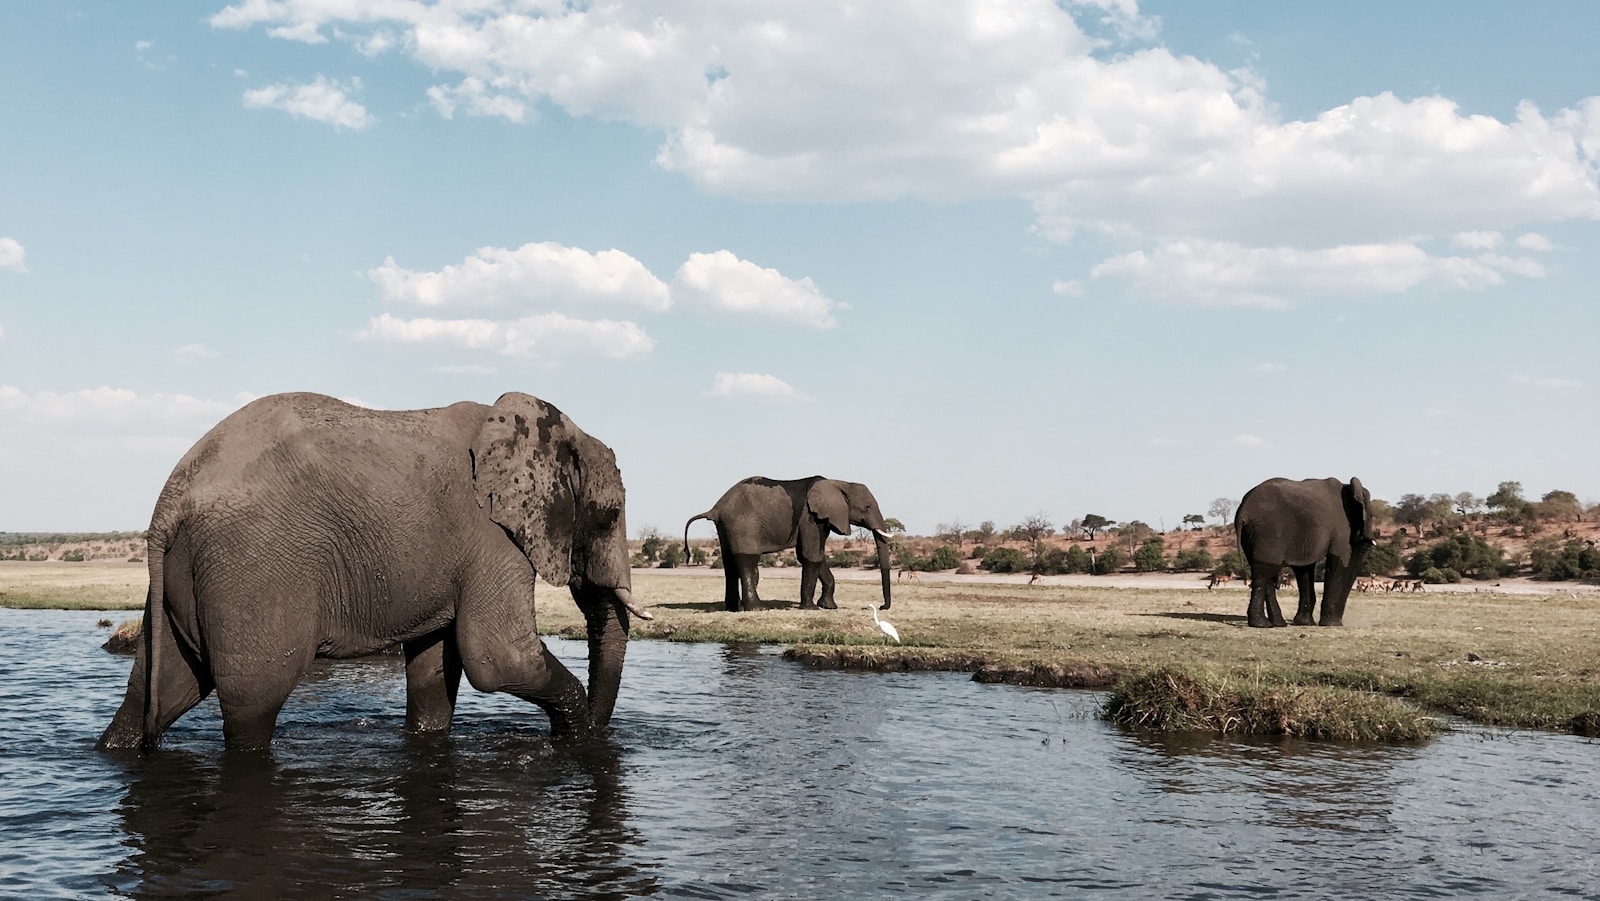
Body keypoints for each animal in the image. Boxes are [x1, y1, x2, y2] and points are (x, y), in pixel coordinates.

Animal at [98, 395, 649, 755]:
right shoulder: (493, 536)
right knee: (252, 705)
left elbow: (433, 671)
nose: (603, 736)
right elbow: (498, 657)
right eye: (609, 515)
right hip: (251, 567)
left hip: (184, 577)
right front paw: (577, 737)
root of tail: (171, 495)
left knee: (158, 688)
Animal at [681, 480, 896, 614]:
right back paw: (758, 608)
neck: (839, 483)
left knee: (729, 563)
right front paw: (811, 608)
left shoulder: (821, 520)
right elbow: (811, 555)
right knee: (747, 560)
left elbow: (814, 555)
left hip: (726, 526)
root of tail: (715, 508)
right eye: (867, 507)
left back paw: (735, 609)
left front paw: (828, 607)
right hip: (742, 523)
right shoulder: (811, 517)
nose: (881, 607)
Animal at [1235, 476, 1376, 630]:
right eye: (1372, 516)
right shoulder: (1341, 527)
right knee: (1263, 570)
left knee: (1264, 570)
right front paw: (1331, 624)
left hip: (1252, 534)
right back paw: (1262, 624)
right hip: (1268, 532)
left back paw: (1278, 623)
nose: (1340, 621)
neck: (1349, 487)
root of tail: (1243, 512)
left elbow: (1304, 570)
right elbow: (1337, 562)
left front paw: (1304, 623)